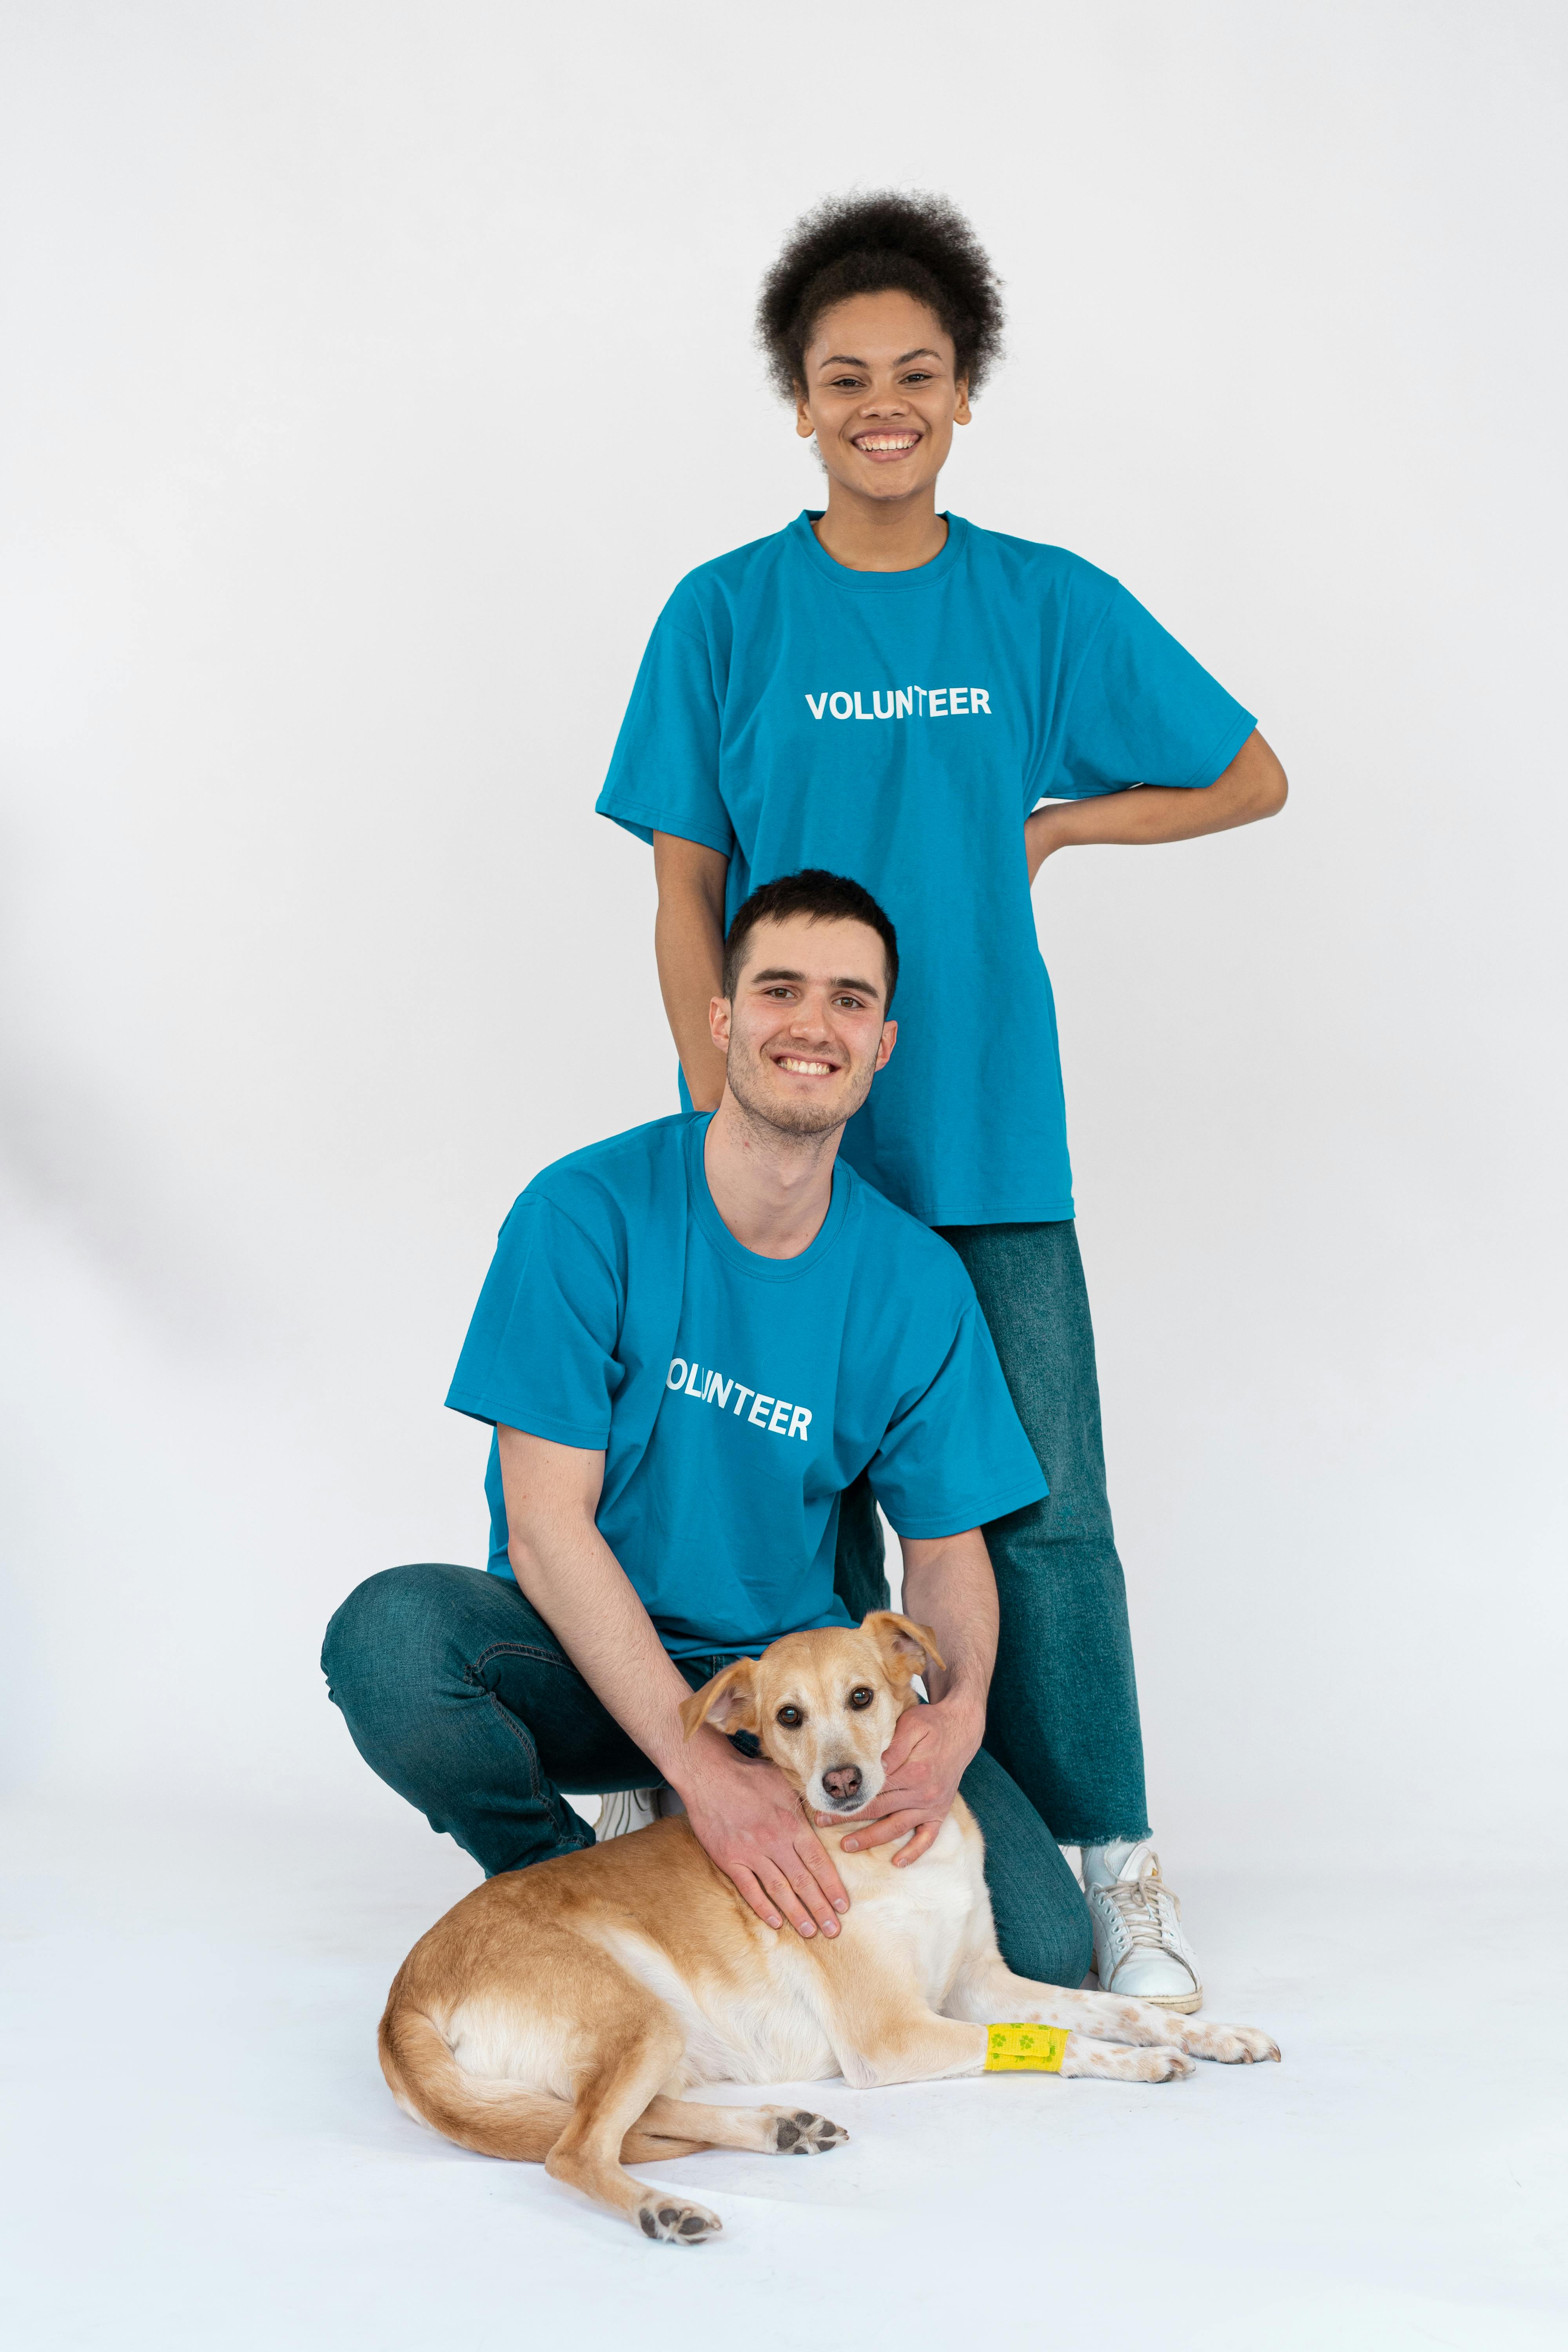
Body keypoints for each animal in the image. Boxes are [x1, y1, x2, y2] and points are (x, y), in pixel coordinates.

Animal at [383, 1618, 1288, 2239]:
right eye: (787, 1717)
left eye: (862, 1698)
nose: (843, 1782)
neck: (888, 1857)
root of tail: (401, 2004)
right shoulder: (893, 2035)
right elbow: (1058, 2041)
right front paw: (1141, 2065)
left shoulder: (979, 1983)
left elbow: (1115, 2010)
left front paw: (1220, 2036)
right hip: (638, 2016)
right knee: (572, 2149)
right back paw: (664, 2210)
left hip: (657, 2039)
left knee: (627, 2120)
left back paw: (777, 2128)